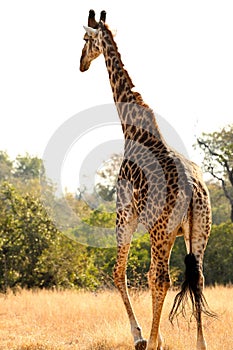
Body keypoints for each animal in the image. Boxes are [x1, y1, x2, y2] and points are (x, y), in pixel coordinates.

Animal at [79, 9, 214, 348]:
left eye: (85, 38)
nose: (81, 63)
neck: (131, 126)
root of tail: (194, 191)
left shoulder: (123, 212)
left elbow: (119, 271)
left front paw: (140, 335)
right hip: (199, 230)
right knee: (198, 277)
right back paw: (200, 342)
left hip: (160, 230)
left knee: (159, 277)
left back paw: (153, 341)